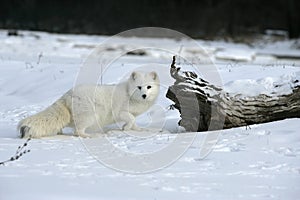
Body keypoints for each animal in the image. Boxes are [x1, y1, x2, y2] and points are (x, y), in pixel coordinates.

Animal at [17, 71, 159, 138]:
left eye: (149, 87)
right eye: (139, 87)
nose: (144, 95)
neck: (129, 94)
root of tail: (67, 95)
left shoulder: (131, 113)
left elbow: (134, 121)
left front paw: (137, 130)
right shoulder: (120, 112)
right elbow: (131, 118)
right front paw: (126, 128)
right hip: (89, 117)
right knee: (77, 131)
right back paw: (89, 136)